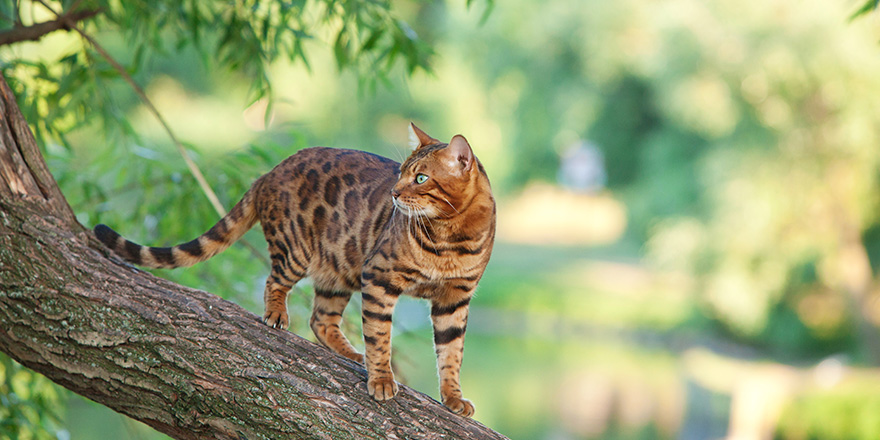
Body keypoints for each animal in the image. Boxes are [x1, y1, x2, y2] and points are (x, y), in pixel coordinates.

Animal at [97, 124, 498, 416]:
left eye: (421, 178)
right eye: (400, 173)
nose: (395, 194)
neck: (451, 237)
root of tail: (268, 172)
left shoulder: (455, 299)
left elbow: (451, 353)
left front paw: (453, 397)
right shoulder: (380, 276)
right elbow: (380, 336)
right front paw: (382, 378)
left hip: (339, 267)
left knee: (321, 319)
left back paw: (350, 353)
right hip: (299, 250)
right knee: (276, 282)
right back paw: (278, 315)